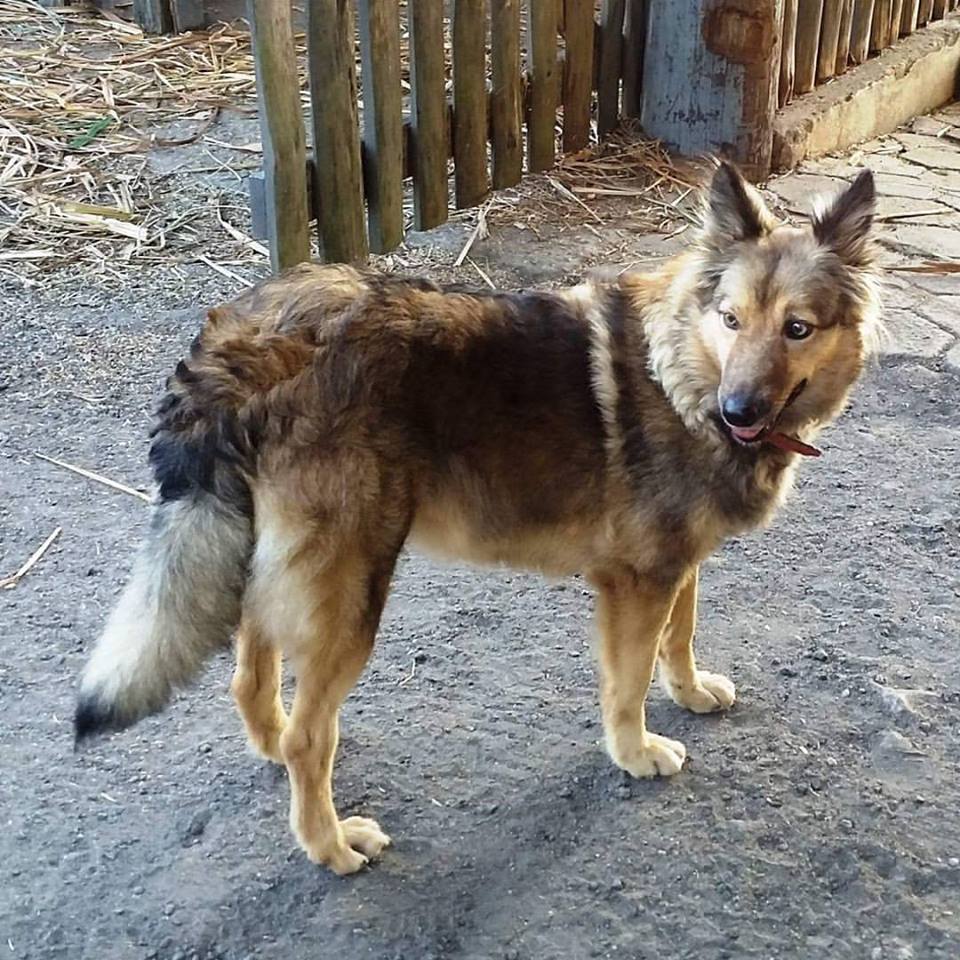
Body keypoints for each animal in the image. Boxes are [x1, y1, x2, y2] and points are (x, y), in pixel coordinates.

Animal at [79, 165, 880, 876]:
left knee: (250, 681)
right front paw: (636, 752)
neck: (680, 369)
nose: (738, 412)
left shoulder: (676, 565)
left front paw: (688, 693)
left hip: (284, 576)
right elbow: (626, 683)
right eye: (731, 319)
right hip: (350, 595)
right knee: (312, 738)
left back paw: (273, 750)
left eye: (798, 328)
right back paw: (331, 844)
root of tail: (253, 342)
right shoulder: (636, 582)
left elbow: (677, 639)